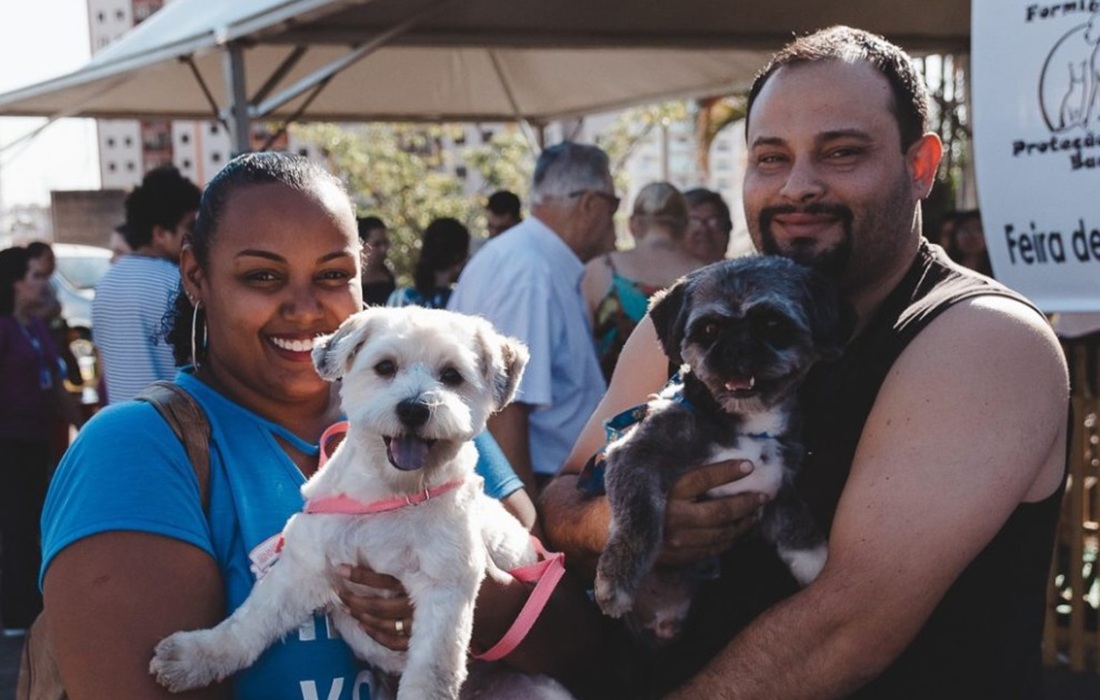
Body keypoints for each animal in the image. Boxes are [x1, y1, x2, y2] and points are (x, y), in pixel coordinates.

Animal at [150, 306, 571, 700]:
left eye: (451, 375)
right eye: (385, 367)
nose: (414, 408)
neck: (392, 496)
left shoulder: (445, 588)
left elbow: (432, 671)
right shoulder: (304, 566)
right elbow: (250, 621)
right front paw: (197, 655)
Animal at [593, 256, 853, 644]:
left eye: (772, 323)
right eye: (709, 329)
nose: (735, 349)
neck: (748, 425)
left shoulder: (779, 482)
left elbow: (795, 520)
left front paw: (813, 560)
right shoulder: (634, 455)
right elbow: (639, 519)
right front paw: (616, 580)